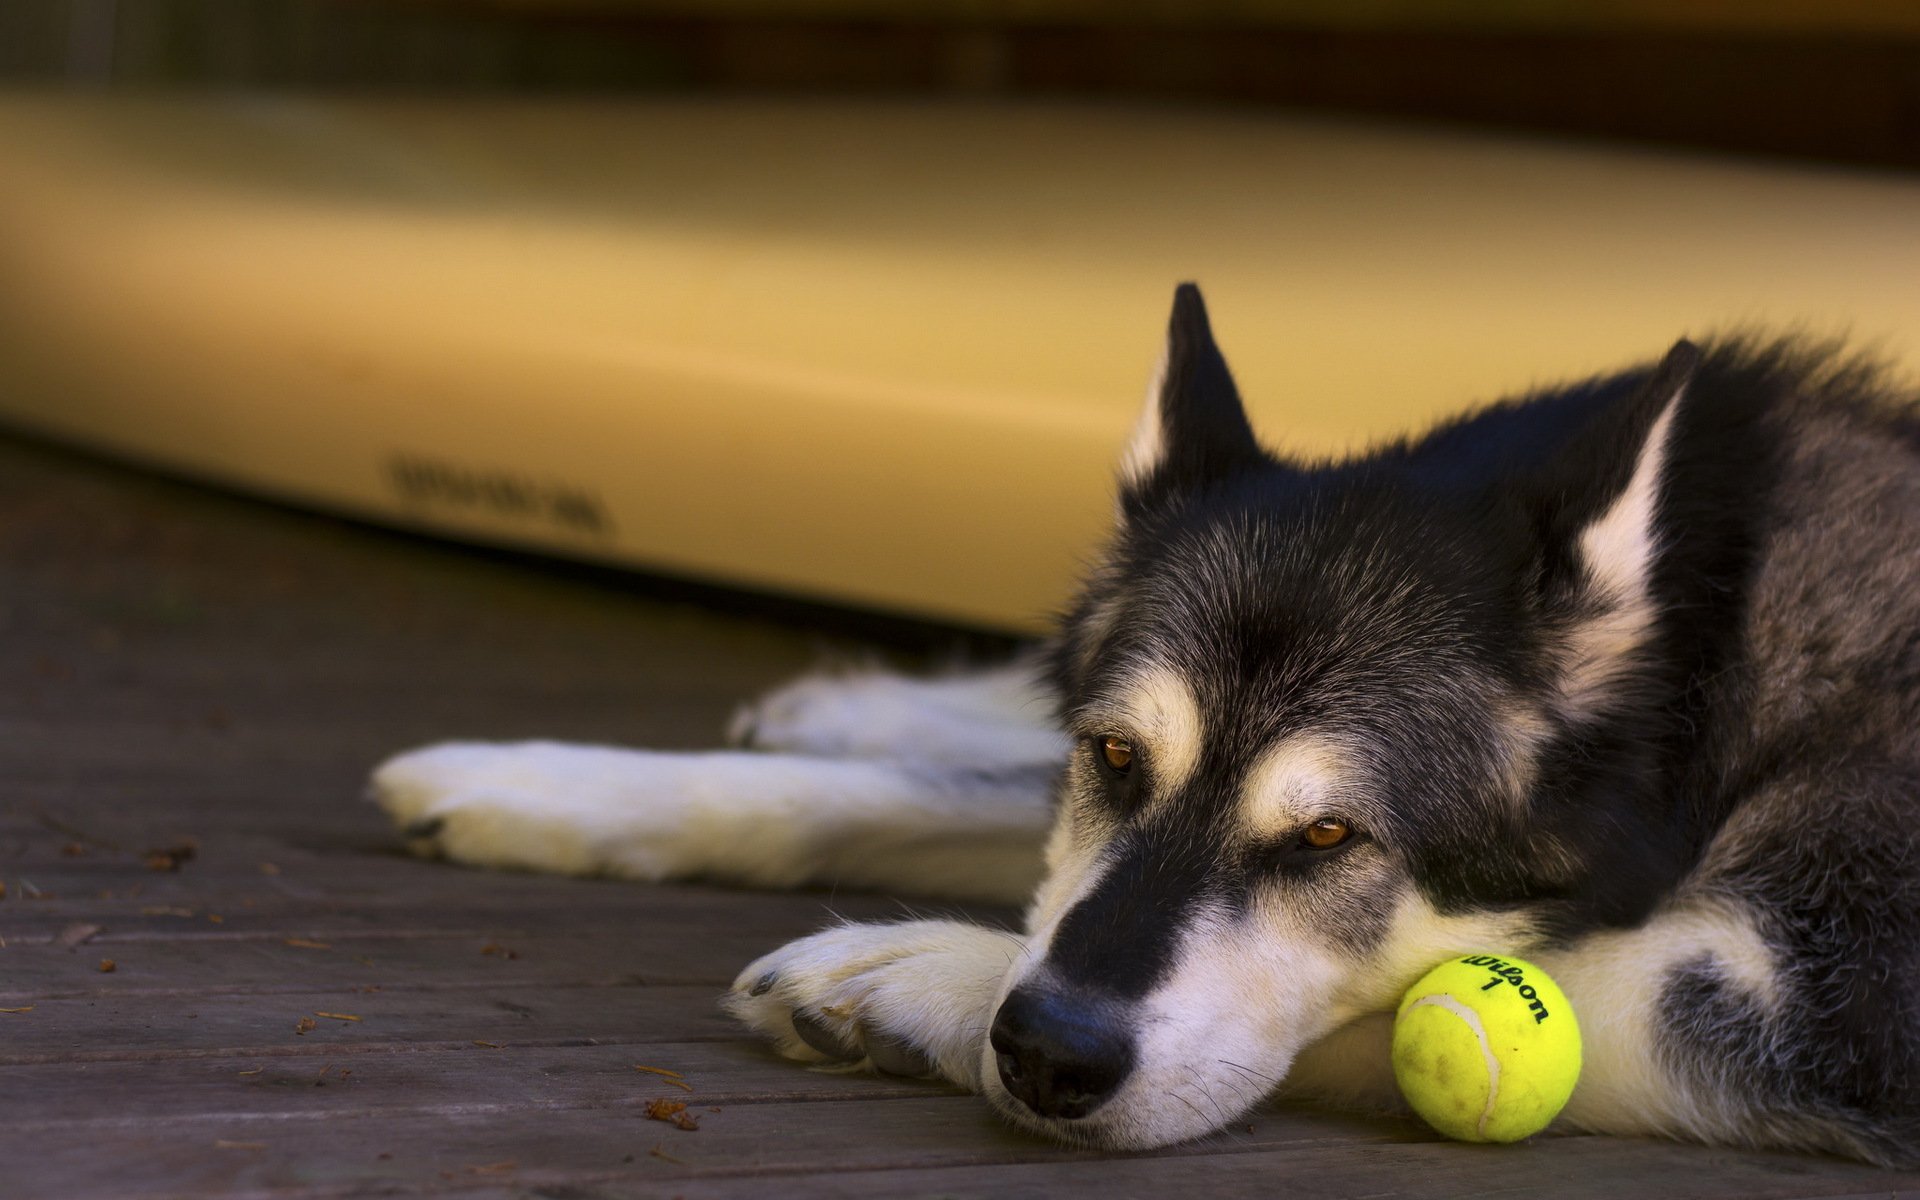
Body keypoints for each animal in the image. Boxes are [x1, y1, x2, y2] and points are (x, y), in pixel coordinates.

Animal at [374, 286, 1920, 1167]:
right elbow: (922, 797)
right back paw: (864, 699)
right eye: (1119, 760)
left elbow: (1382, 1005)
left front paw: (918, 978)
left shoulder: (1818, 997)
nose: (1048, 1051)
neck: (1720, 649)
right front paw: (545, 788)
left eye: (1330, 837)